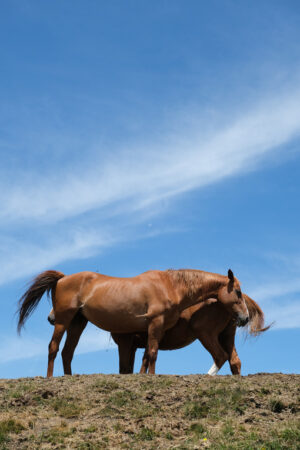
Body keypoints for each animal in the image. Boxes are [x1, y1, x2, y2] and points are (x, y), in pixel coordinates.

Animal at [17, 268, 250, 376]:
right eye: (238, 292)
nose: (245, 318)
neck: (169, 285)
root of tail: (63, 278)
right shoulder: (153, 324)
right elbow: (151, 355)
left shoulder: (152, 330)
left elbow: (145, 357)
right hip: (64, 320)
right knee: (53, 347)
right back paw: (50, 378)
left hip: (77, 323)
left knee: (67, 352)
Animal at [112, 294, 270, 374]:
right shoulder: (139, 344)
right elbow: (143, 361)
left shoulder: (125, 342)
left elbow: (124, 368)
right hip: (226, 336)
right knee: (235, 361)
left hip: (205, 333)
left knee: (220, 356)